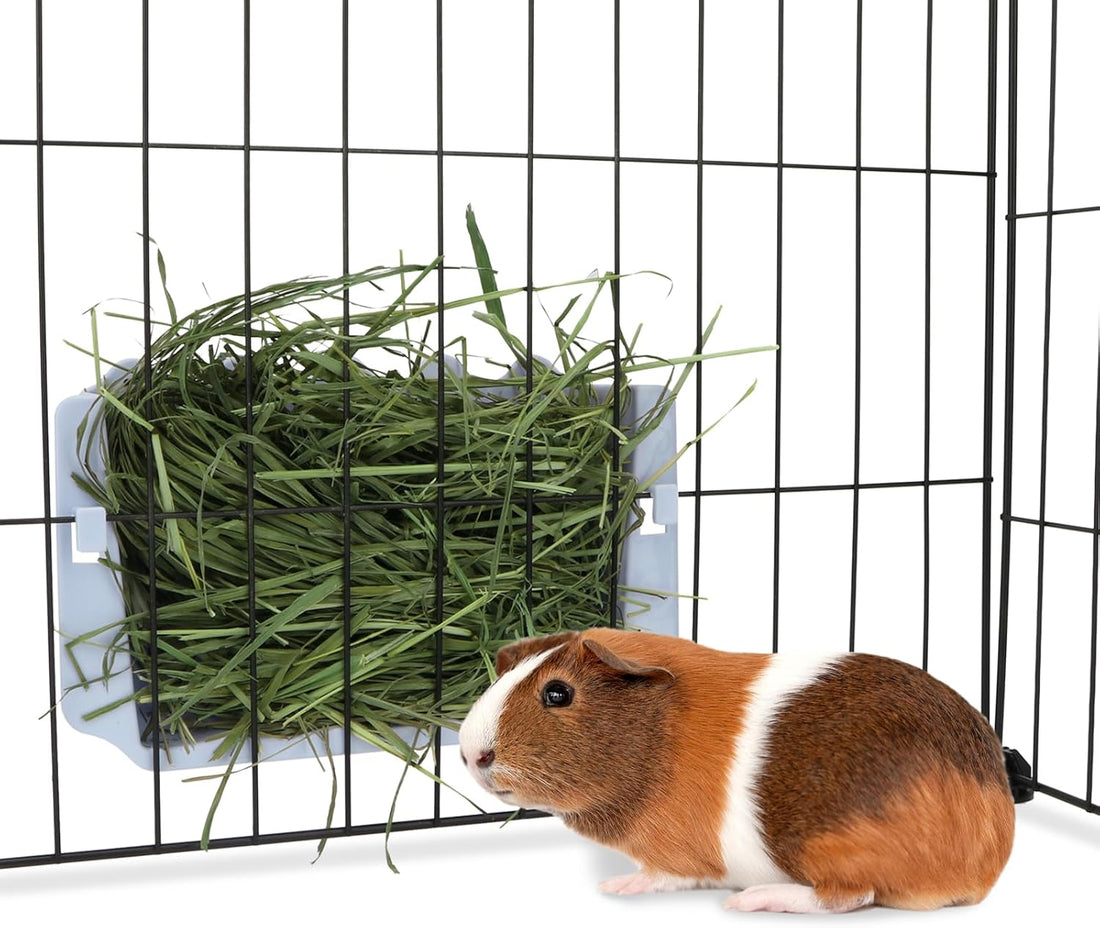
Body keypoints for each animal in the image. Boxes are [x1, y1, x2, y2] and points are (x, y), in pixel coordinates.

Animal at [457, 627, 1015, 914]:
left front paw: (616, 887)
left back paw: (749, 902)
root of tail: (986, 862)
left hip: (824, 846)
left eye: (558, 693)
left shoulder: (680, 857)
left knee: (847, 896)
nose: (470, 754)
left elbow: (663, 875)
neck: (663, 741)